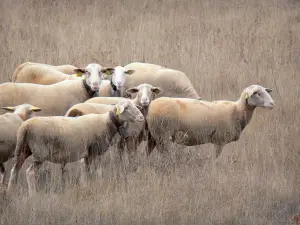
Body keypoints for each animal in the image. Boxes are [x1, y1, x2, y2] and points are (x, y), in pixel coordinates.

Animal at [6, 99, 143, 196]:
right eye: (127, 108)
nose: (142, 117)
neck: (106, 122)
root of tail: (25, 126)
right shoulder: (95, 150)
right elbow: (97, 171)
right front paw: (99, 184)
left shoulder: (88, 154)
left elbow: (86, 171)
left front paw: (85, 186)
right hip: (40, 153)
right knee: (30, 172)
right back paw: (33, 195)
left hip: (22, 150)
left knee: (14, 171)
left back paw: (10, 192)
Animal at [145, 84, 274, 160]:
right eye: (257, 93)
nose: (272, 103)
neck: (237, 110)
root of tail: (151, 105)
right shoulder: (220, 140)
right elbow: (215, 159)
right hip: (163, 135)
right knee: (165, 154)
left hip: (153, 135)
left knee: (148, 151)